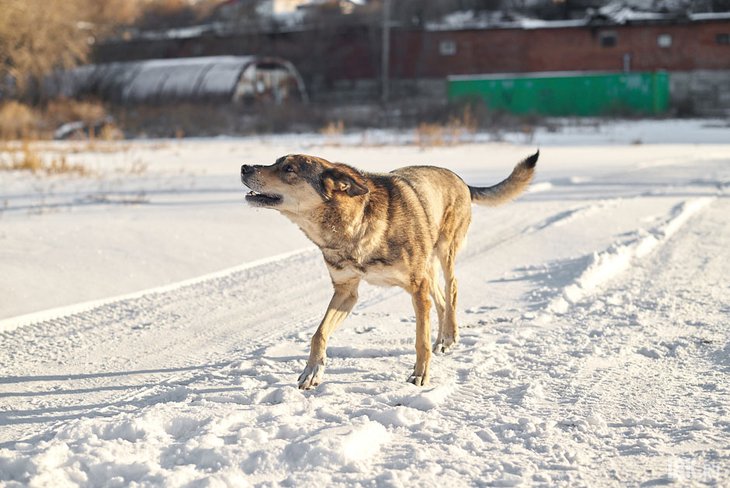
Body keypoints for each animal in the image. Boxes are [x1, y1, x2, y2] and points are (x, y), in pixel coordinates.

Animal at [239, 152, 536, 388]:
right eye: (276, 162)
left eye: (289, 168)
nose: (244, 167)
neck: (351, 226)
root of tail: (460, 179)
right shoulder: (346, 291)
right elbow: (318, 334)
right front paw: (312, 371)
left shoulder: (416, 288)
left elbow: (420, 340)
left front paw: (420, 375)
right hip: (428, 268)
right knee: (440, 300)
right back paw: (442, 339)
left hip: (444, 253)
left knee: (451, 290)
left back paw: (450, 336)